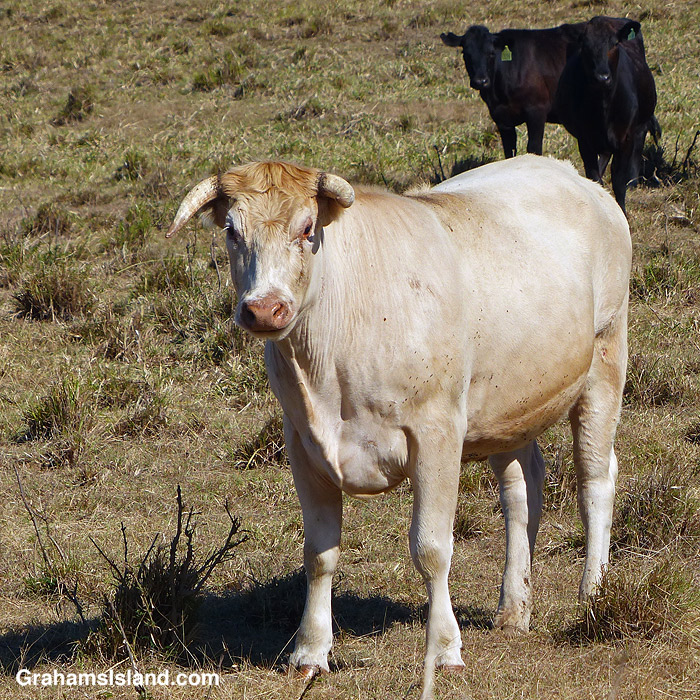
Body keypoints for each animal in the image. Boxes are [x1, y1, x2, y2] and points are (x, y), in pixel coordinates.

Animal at [166, 155, 631, 700]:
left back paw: (593, 592)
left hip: (605, 360)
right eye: (231, 232)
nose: (264, 308)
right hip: (511, 404)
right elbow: (319, 554)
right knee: (523, 490)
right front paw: (310, 652)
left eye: (307, 228)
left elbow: (432, 549)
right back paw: (514, 608)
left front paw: (445, 650)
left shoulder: (437, 433)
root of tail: (569, 173)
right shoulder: (302, 443)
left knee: (595, 478)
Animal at [440, 23, 585, 158]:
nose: (481, 81)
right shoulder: (500, 117)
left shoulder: (537, 110)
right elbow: (509, 152)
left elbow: (533, 149)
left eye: (491, 53)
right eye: (465, 54)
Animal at [554, 16, 658, 212]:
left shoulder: (625, 139)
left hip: (637, 128)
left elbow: (619, 181)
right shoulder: (584, 140)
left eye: (615, 43)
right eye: (585, 45)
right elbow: (594, 177)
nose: (602, 77)